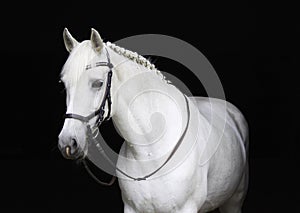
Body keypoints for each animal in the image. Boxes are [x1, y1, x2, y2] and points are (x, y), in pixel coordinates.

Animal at [58, 28, 248, 213]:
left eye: (97, 83)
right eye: (64, 84)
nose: (67, 142)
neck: (149, 151)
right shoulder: (132, 209)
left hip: (233, 202)